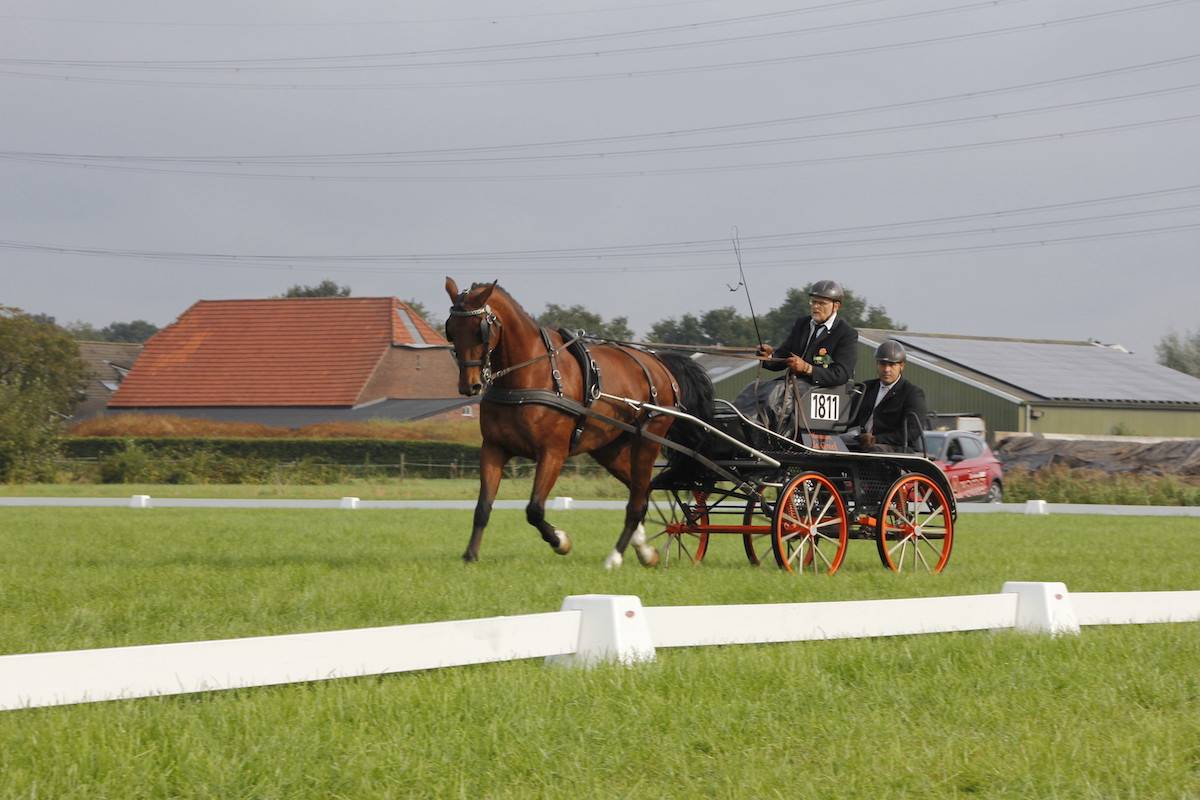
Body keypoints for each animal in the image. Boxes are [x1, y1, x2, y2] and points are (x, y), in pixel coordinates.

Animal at [448, 278, 710, 566]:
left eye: (480, 330)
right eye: (452, 330)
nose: (470, 385)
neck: (527, 378)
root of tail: (659, 363)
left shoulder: (553, 452)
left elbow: (535, 509)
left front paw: (561, 541)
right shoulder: (494, 448)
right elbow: (483, 506)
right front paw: (470, 555)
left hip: (647, 441)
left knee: (638, 499)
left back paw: (615, 557)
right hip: (609, 449)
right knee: (640, 490)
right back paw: (644, 550)